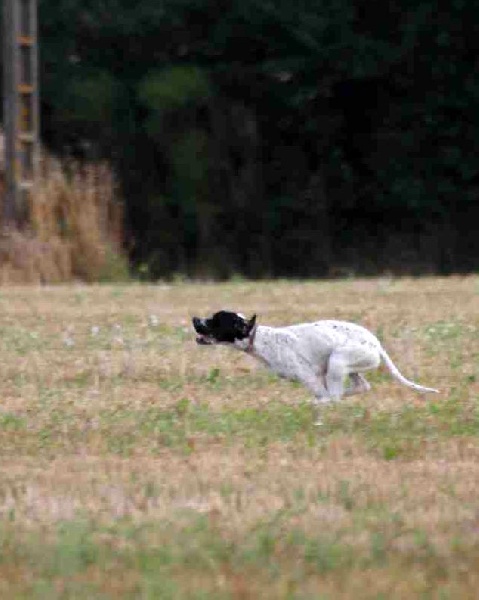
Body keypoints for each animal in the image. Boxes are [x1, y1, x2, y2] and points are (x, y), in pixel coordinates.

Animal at [192, 310, 438, 404]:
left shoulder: (309, 378)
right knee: (359, 387)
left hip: (338, 360)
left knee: (335, 396)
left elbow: (322, 394)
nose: (194, 319)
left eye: (215, 320)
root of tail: (376, 343)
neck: (260, 339)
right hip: (346, 367)